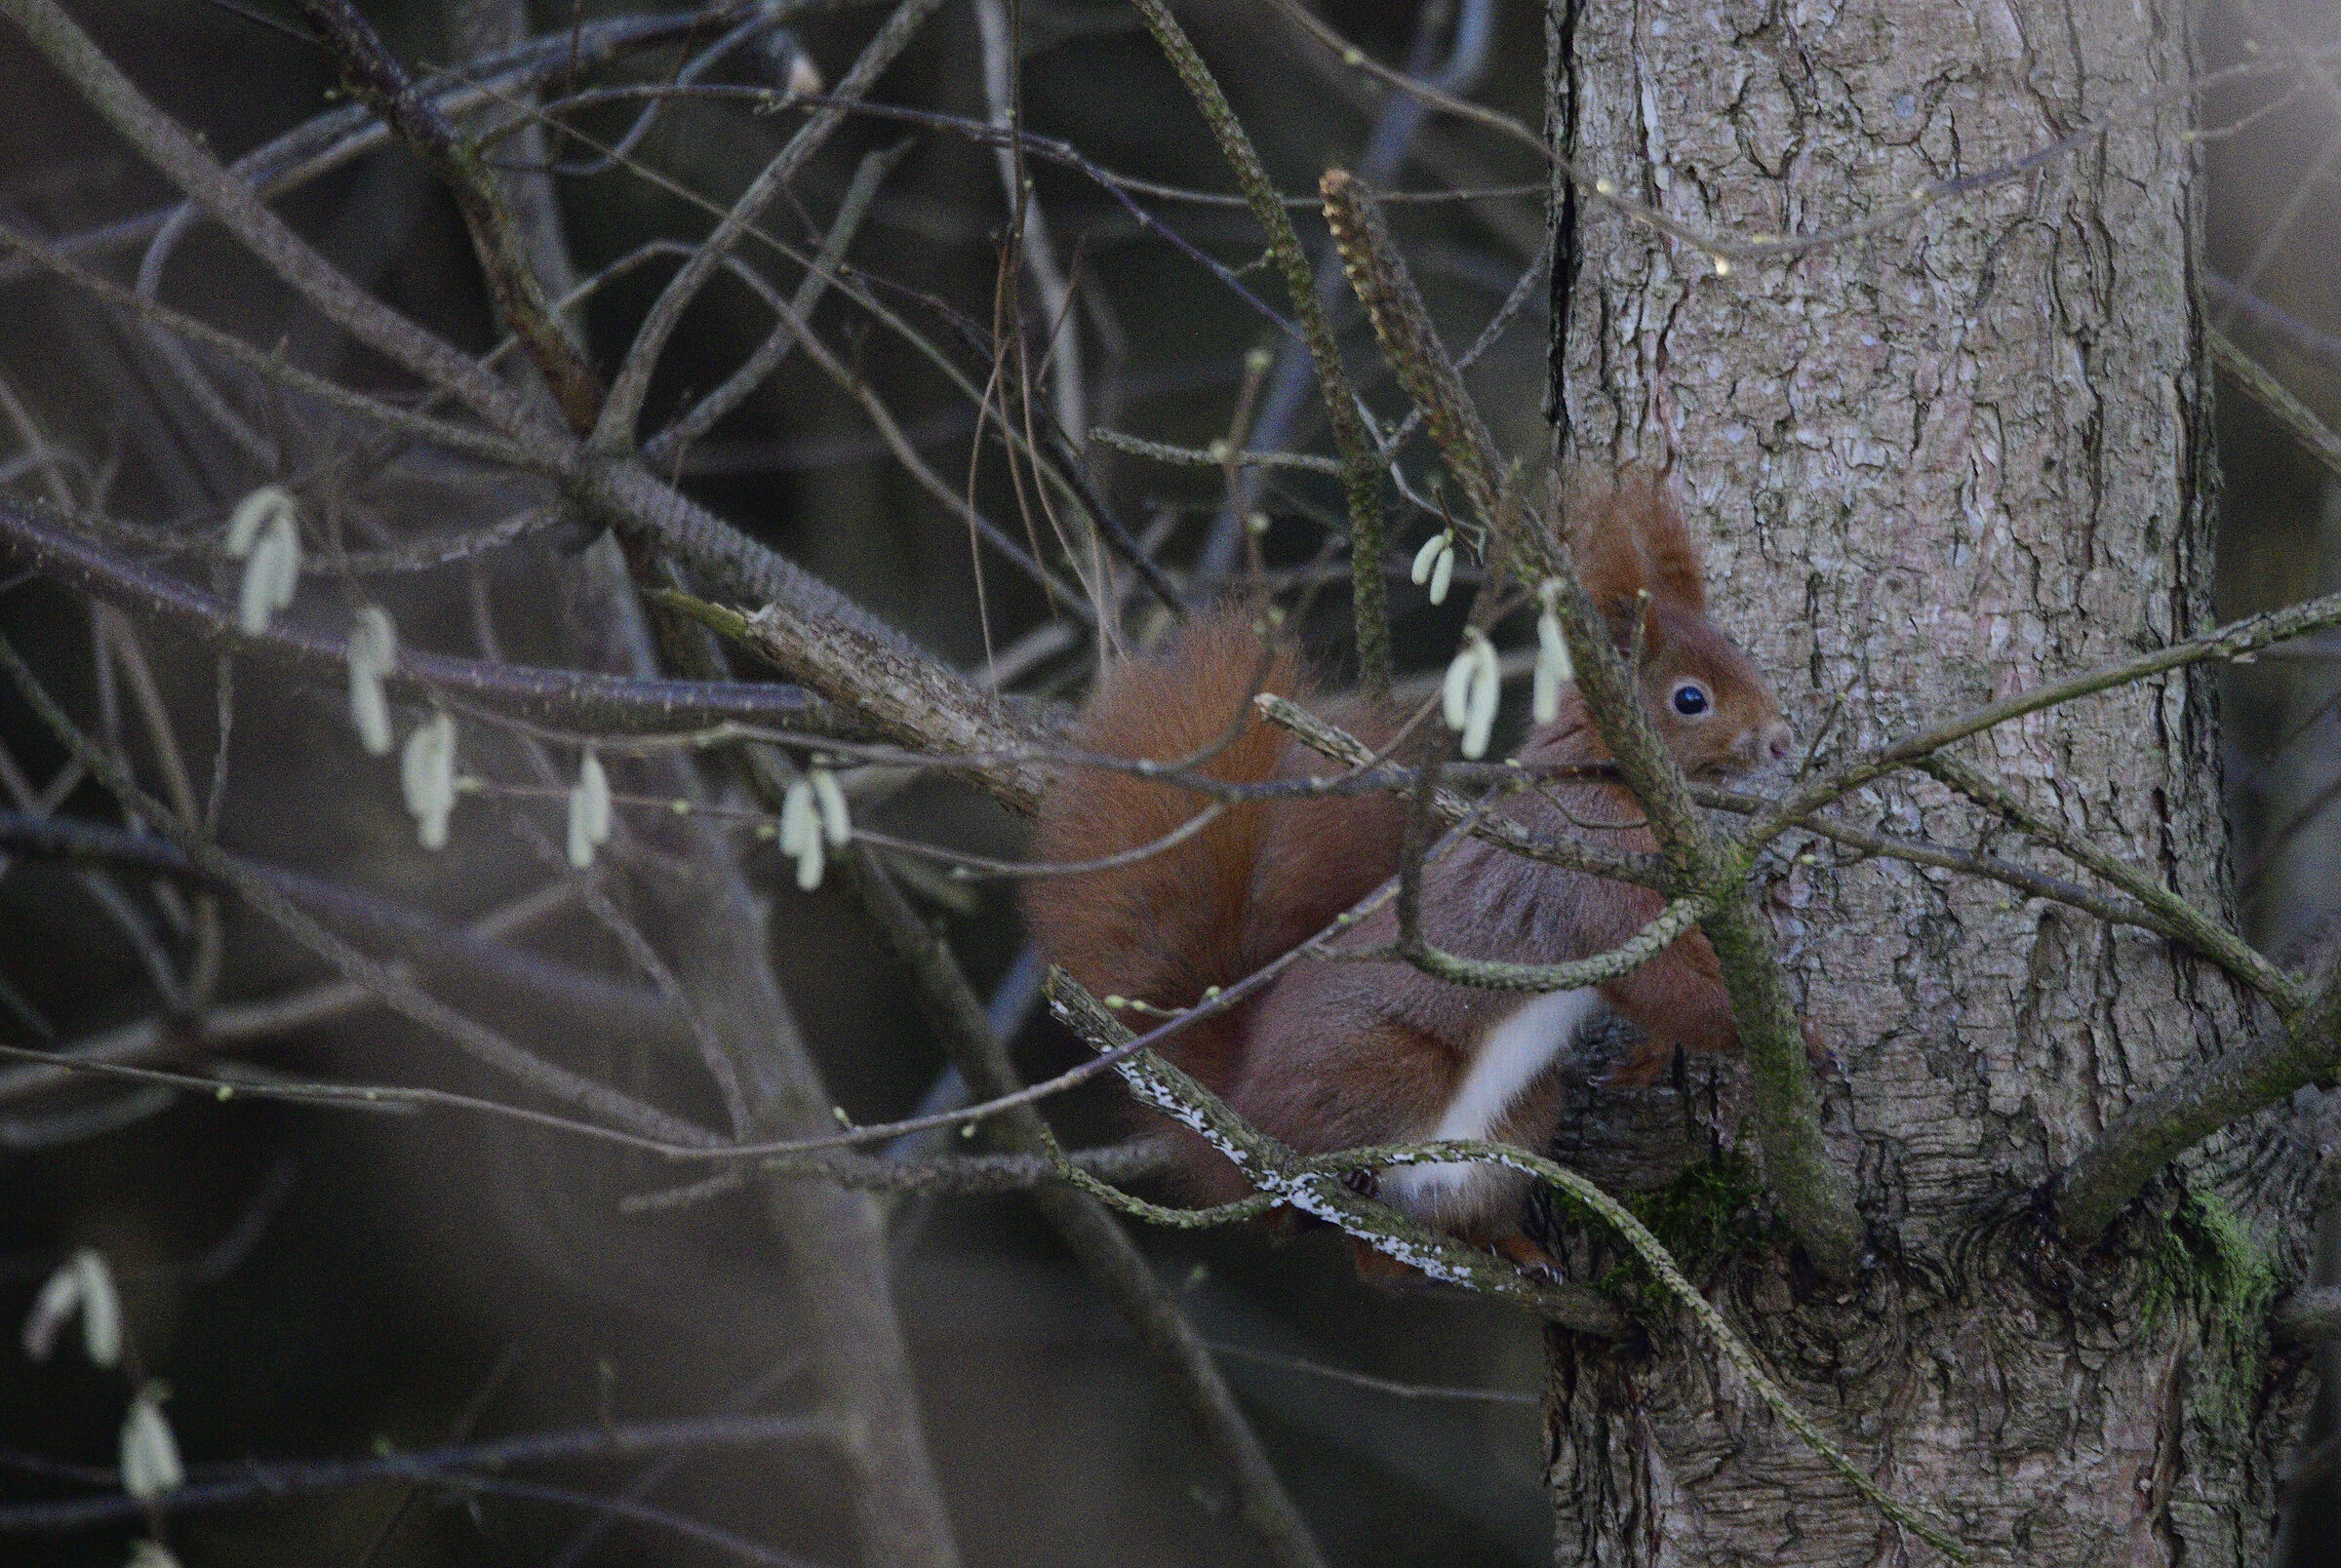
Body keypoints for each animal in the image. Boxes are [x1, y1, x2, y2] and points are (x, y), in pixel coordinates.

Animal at [1022, 470, 1803, 1263]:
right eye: (1690, 699)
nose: (1781, 739)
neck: (1598, 773)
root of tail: (1238, 1109)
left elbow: (1674, 977)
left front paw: (1661, 1053)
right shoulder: (1589, 875)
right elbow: (1660, 977)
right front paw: (1800, 1041)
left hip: (1515, 1127)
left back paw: (1509, 1252)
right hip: (1385, 1067)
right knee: (1297, 1198)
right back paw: (1330, 1189)